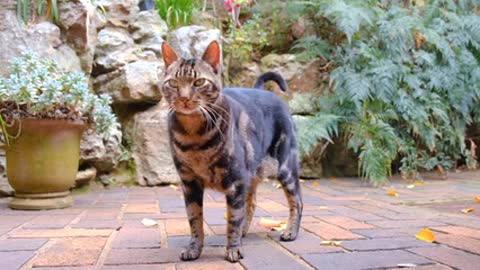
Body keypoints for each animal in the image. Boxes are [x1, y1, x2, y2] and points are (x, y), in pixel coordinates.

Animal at [161, 41, 304, 262]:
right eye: (174, 83)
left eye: (199, 82)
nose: (184, 98)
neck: (194, 138)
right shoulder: (189, 183)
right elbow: (194, 220)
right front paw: (194, 248)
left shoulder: (236, 182)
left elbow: (233, 218)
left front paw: (233, 248)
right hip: (253, 173)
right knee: (251, 203)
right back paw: (245, 231)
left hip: (285, 167)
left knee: (297, 201)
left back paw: (290, 231)